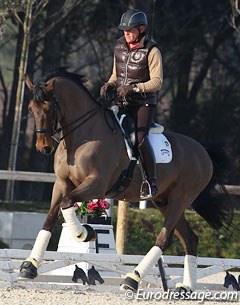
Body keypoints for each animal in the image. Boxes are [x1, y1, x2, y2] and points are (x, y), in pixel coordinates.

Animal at [19, 67, 233, 292]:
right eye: (31, 109)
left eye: (49, 109)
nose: (43, 148)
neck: (82, 136)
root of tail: (203, 153)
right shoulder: (62, 184)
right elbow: (50, 218)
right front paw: (29, 266)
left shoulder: (97, 184)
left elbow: (67, 203)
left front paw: (85, 233)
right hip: (164, 201)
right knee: (190, 239)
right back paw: (185, 288)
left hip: (180, 199)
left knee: (164, 238)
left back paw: (132, 279)